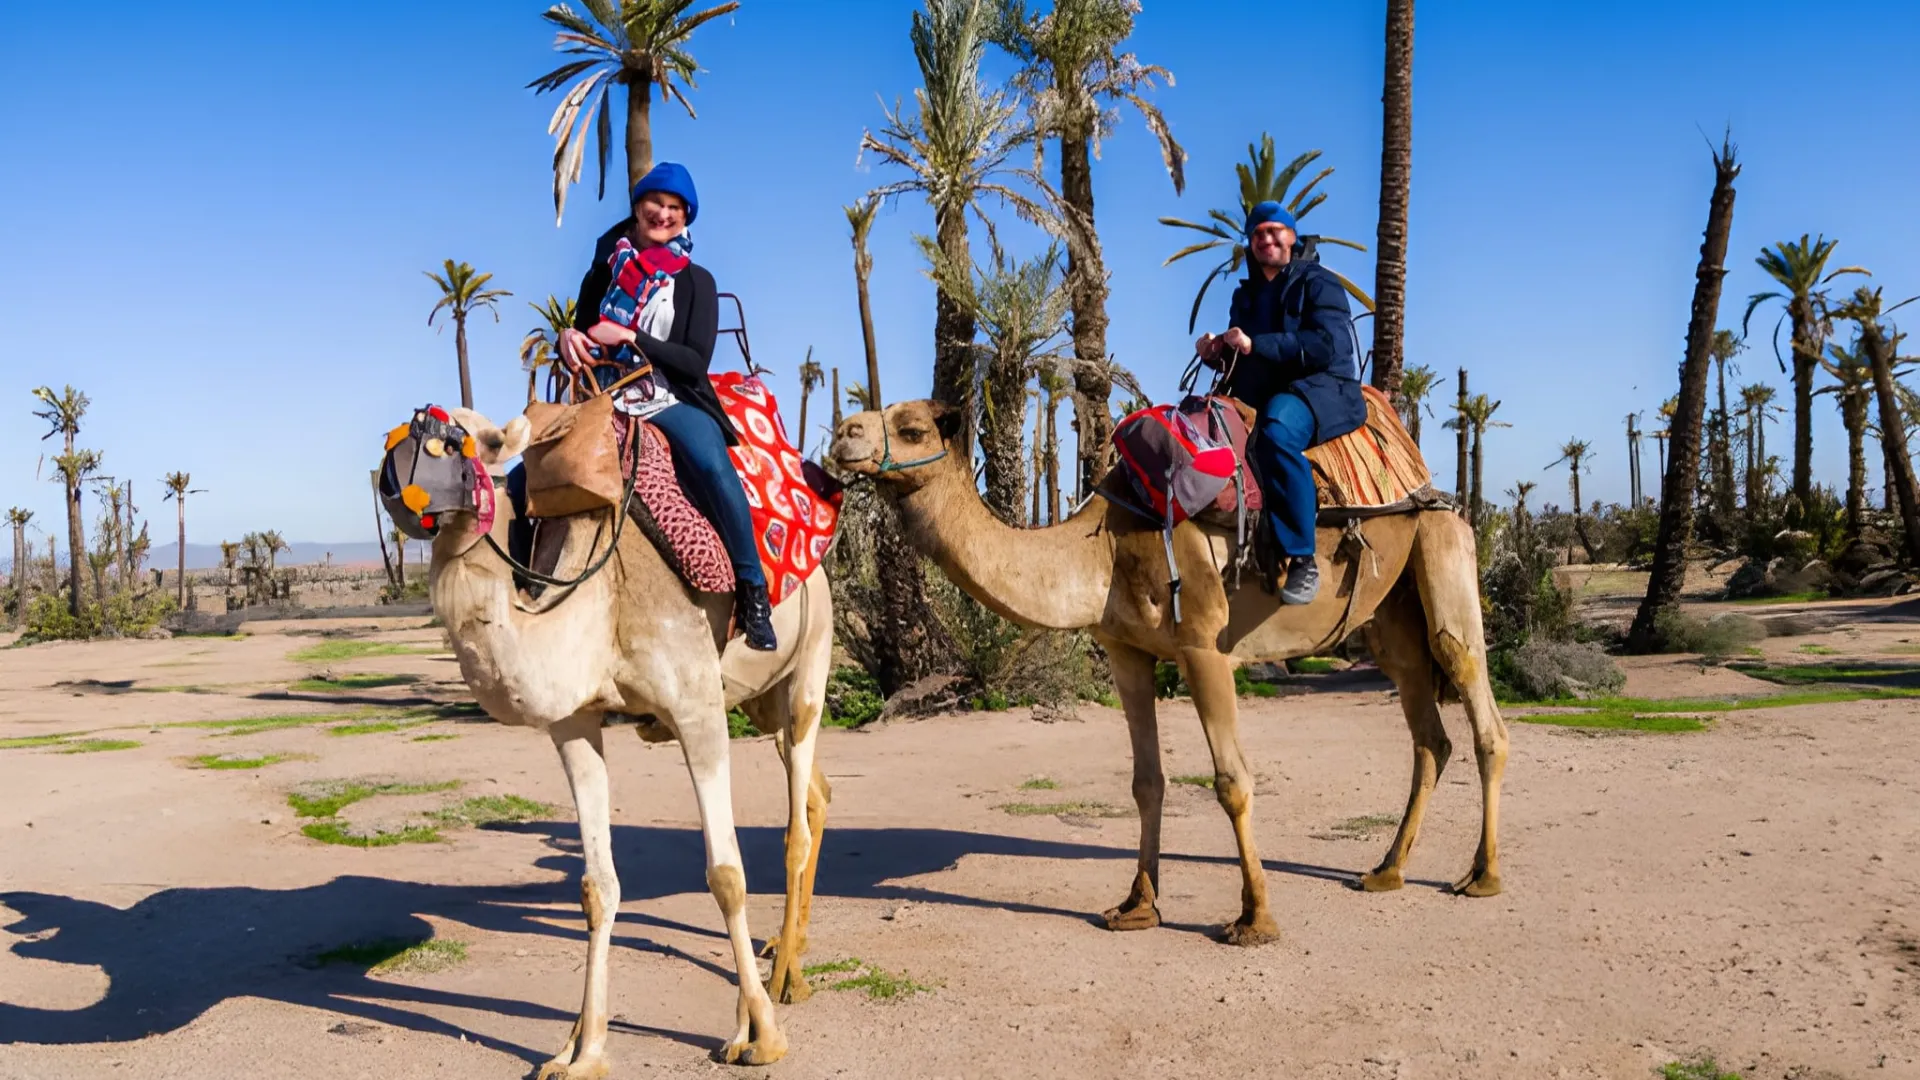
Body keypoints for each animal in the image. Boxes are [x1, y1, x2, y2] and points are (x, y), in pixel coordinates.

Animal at [382, 407, 835, 1076]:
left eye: (465, 441)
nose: (394, 480)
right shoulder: (575, 723)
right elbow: (598, 887)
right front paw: (581, 1050)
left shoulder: (697, 707)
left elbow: (725, 874)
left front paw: (764, 1038)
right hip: (760, 703)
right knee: (815, 795)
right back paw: (781, 961)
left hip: (809, 665)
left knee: (795, 826)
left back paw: (781, 985)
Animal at [830, 400, 1507, 945]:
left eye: (912, 428)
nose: (842, 433)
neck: (1101, 550)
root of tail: (1429, 485)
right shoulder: (1127, 652)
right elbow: (1146, 781)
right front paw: (1137, 906)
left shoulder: (1203, 645)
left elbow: (1232, 782)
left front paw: (1254, 919)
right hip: (1392, 613)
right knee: (1428, 730)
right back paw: (1386, 870)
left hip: (1443, 547)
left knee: (1472, 687)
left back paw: (1482, 876)